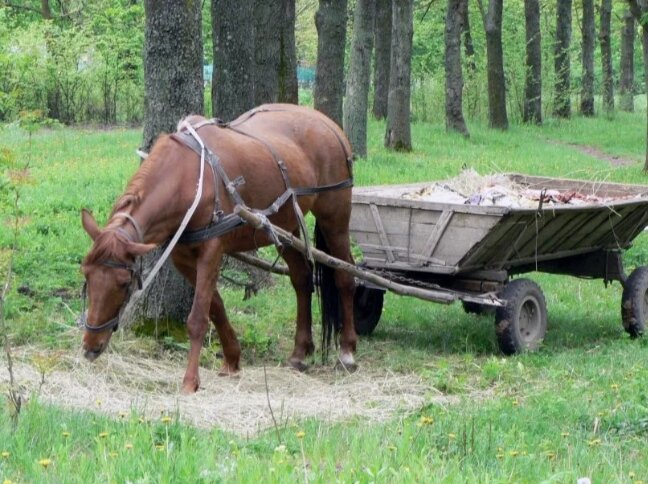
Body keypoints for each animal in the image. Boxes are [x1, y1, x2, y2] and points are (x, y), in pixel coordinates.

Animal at [79, 103, 360, 394]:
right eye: (86, 275)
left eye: (124, 282)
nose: (90, 346)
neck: (189, 178)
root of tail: (326, 122)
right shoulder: (183, 257)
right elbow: (215, 307)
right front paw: (232, 359)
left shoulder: (211, 250)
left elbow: (198, 317)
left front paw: (191, 380)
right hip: (288, 225)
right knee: (302, 280)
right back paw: (300, 351)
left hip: (334, 215)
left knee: (345, 275)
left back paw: (347, 350)